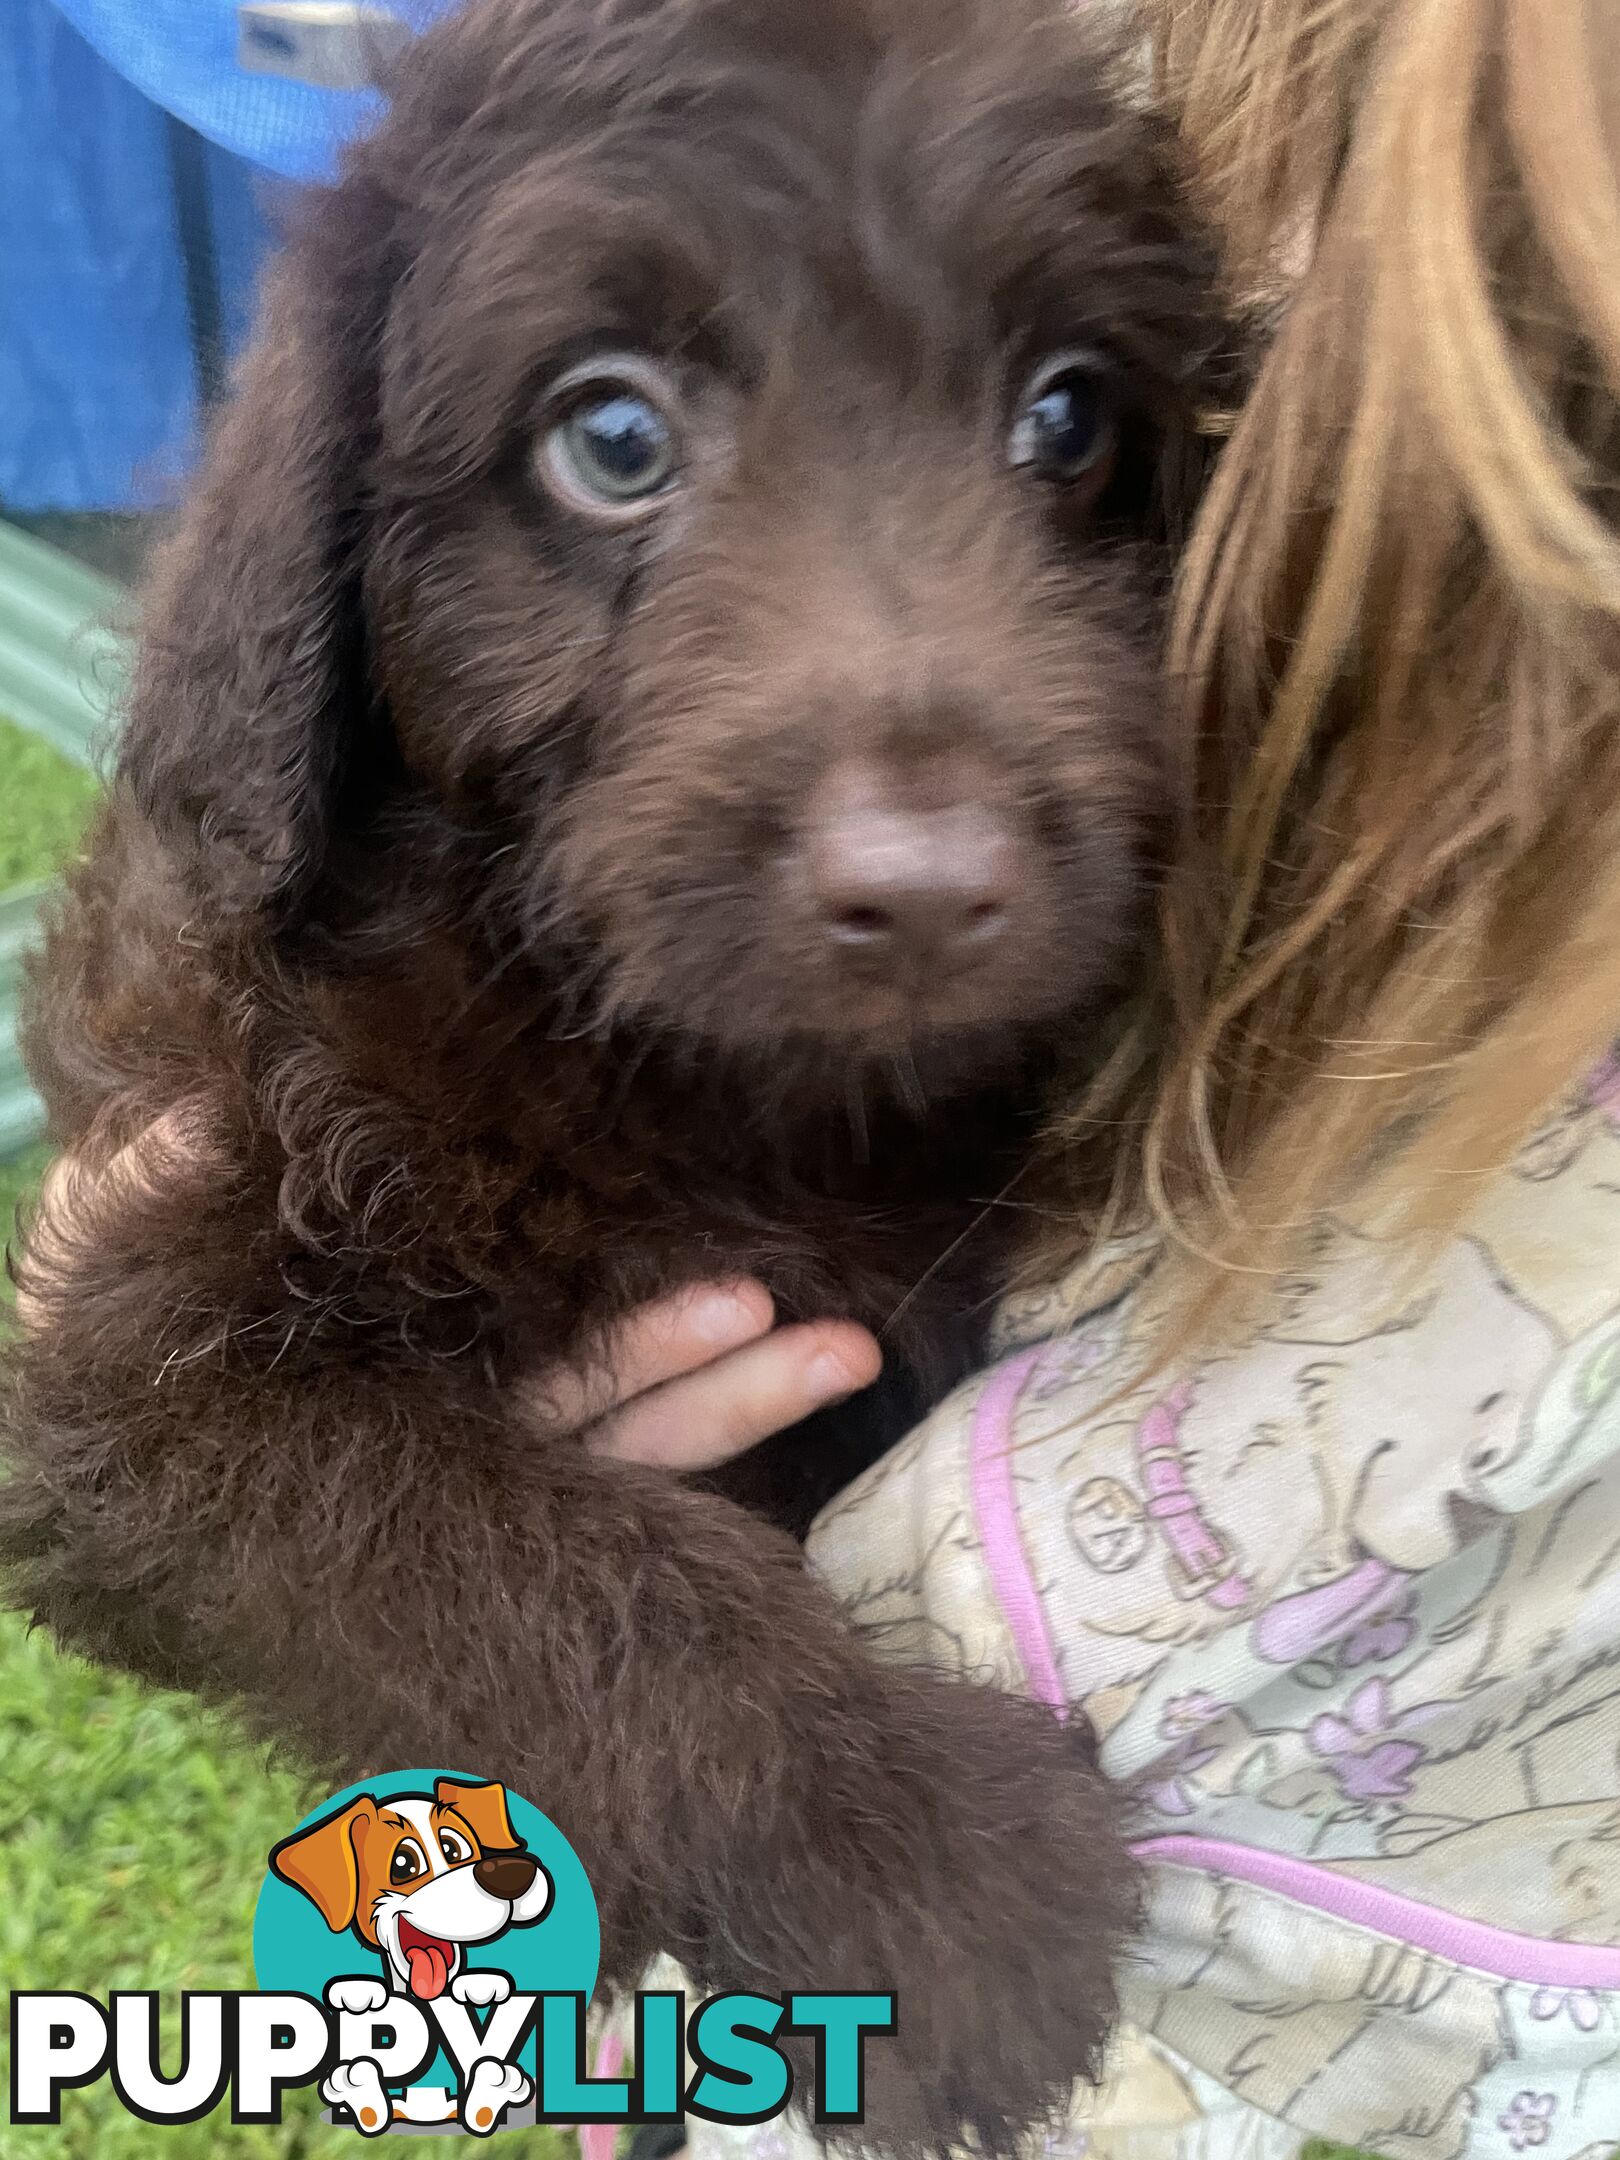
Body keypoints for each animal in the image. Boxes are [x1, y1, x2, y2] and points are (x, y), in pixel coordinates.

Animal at [0, 8, 1218, 2151]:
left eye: (1071, 419)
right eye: (614, 438)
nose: (933, 889)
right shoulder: (128, 1373)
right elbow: (500, 1544)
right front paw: (926, 1873)